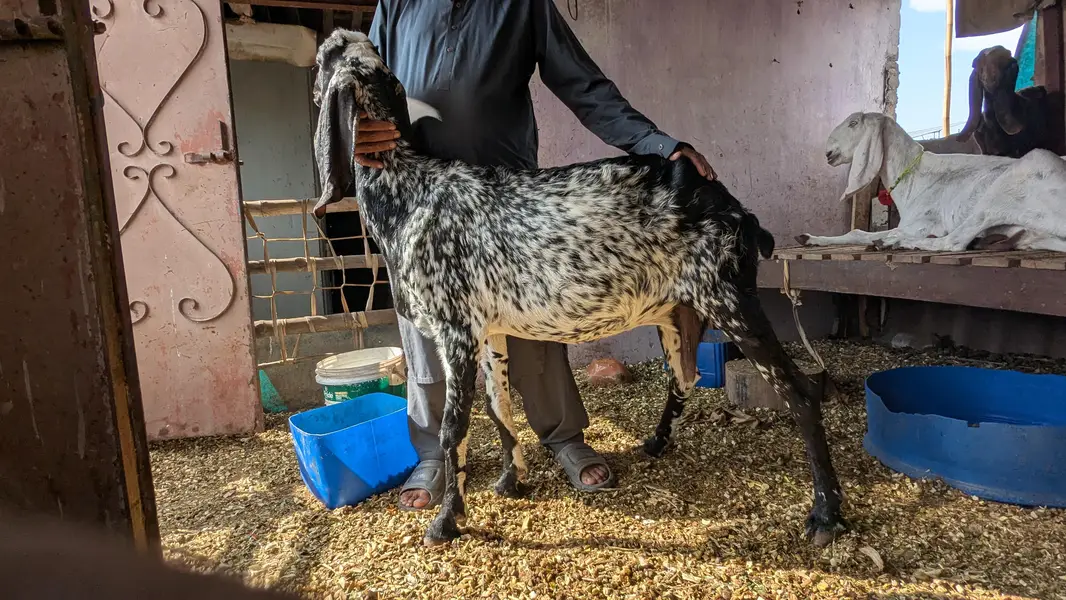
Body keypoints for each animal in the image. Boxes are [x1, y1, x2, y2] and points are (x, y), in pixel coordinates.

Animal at [797, 111, 1066, 253]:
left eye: (854, 123)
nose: (828, 153)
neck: (914, 175)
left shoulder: (923, 223)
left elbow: (860, 234)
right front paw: (811, 238)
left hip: (1014, 182)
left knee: (954, 242)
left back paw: (894, 242)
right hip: (1036, 234)